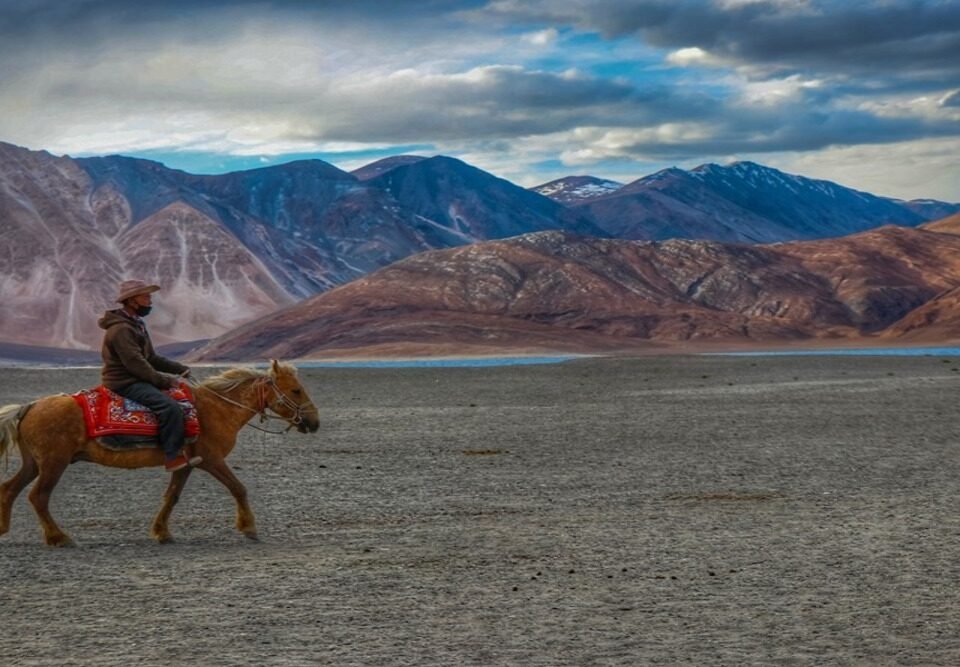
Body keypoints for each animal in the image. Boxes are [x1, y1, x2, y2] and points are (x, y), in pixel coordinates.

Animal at [0, 360, 322, 548]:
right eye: (295, 390)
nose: (314, 422)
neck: (216, 408)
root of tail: (29, 407)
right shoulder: (212, 460)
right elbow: (238, 488)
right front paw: (249, 528)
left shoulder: (185, 464)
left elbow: (171, 497)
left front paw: (161, 532)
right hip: (54, 463)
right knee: (38, 496)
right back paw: (59, 538)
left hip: (34, 463)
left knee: (10, 489)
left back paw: (4, 529)